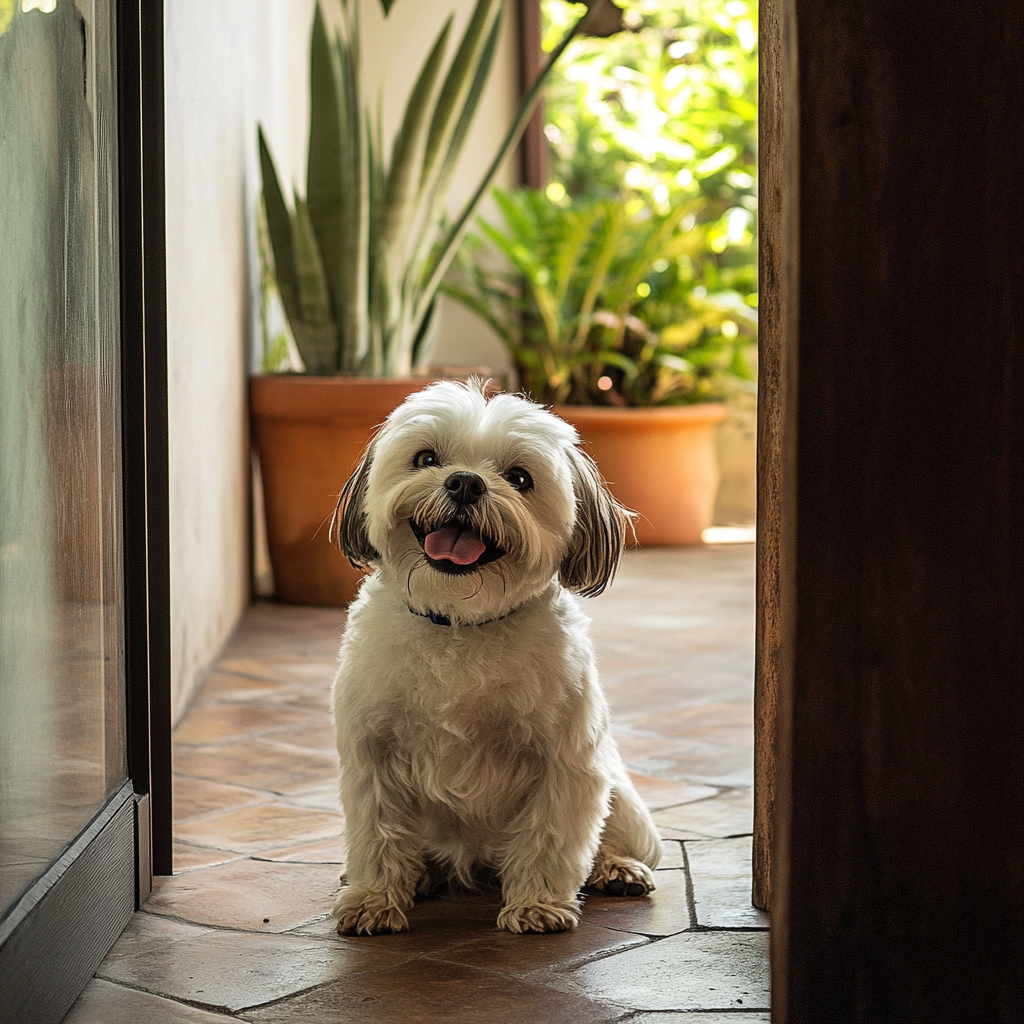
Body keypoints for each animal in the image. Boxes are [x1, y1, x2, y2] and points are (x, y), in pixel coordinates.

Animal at [331, 378, 659, 937]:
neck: (462, 623)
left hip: (621, 796)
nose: (465, 483)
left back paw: (616, 868)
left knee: (611, 837)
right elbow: (378, 835)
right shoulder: (375, 756)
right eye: (426, 458)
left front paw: (537, 905)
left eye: (519, 478)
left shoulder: (564, 762)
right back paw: (419, 876)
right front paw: (374, 900)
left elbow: (551, 837)